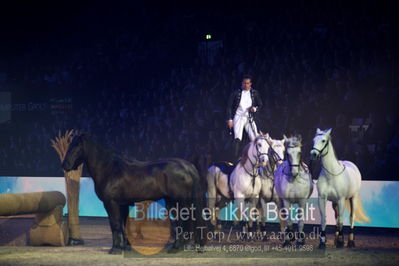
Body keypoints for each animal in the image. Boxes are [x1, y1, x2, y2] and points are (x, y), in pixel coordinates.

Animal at [62, 134, 208, 255]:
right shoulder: (122, 205)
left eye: (75, 147)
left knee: (184, 220)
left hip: (180, 201)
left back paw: (177, 248)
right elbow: (122, 225)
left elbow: (115, 224)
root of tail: (188, 166)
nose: (65, 165)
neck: (109, 169)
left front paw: (115, 249)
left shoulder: (111, 203)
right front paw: (124, 247)